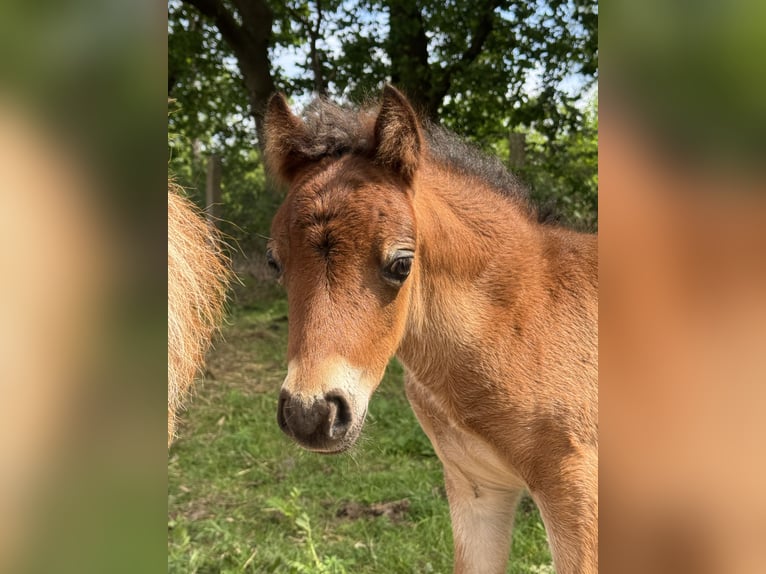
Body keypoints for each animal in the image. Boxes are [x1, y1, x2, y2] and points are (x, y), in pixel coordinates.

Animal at [263, 85, 598, 574]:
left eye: (402, 263)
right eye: (275, 262)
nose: (311, 414)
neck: (519, 320)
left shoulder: (578, 494)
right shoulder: (475, 488)